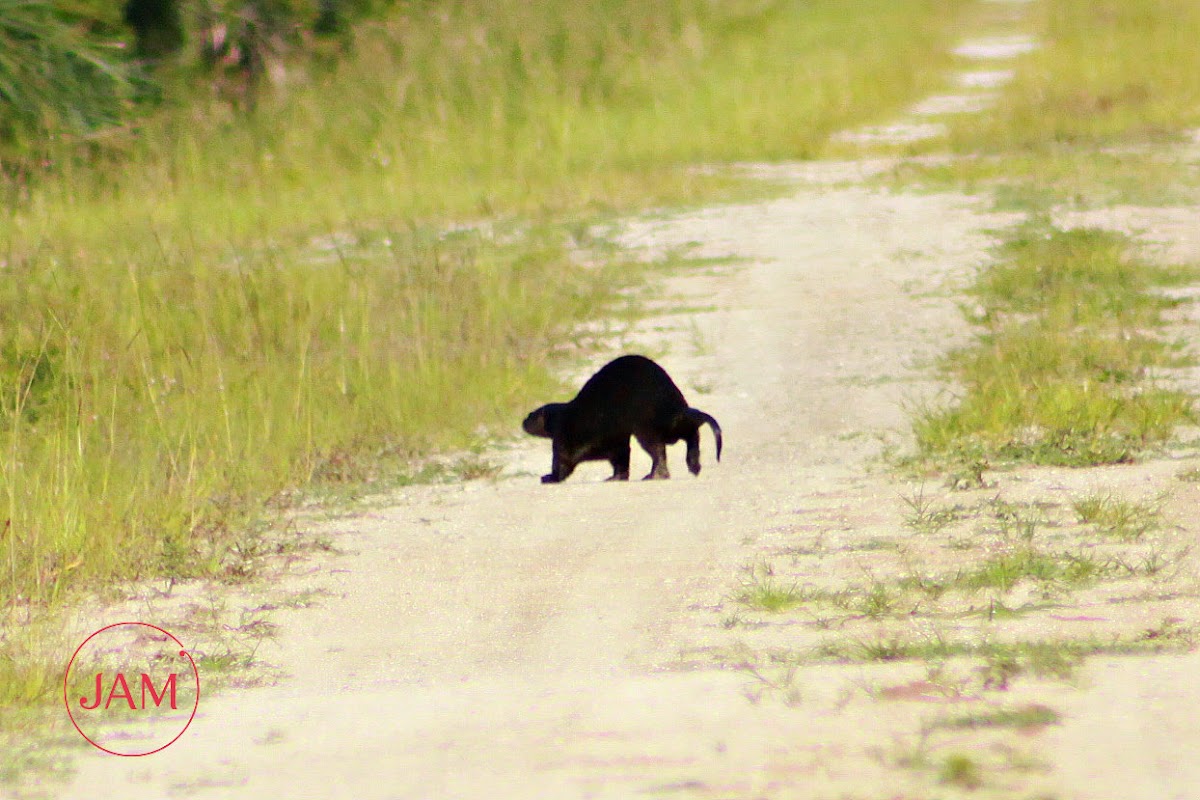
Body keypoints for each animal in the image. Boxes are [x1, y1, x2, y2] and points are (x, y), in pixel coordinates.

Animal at [523, 355, 720, 482]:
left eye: (530, 415)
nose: (523, 422)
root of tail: (674, 407)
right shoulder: (615, 438)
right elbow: (621, 458)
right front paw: (616, 477)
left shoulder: (568, 436)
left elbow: (563, 459)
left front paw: (549, 477)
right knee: (689, 433)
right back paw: (694, 466)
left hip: (646, 424)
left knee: (659, 448)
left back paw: (655, 475)